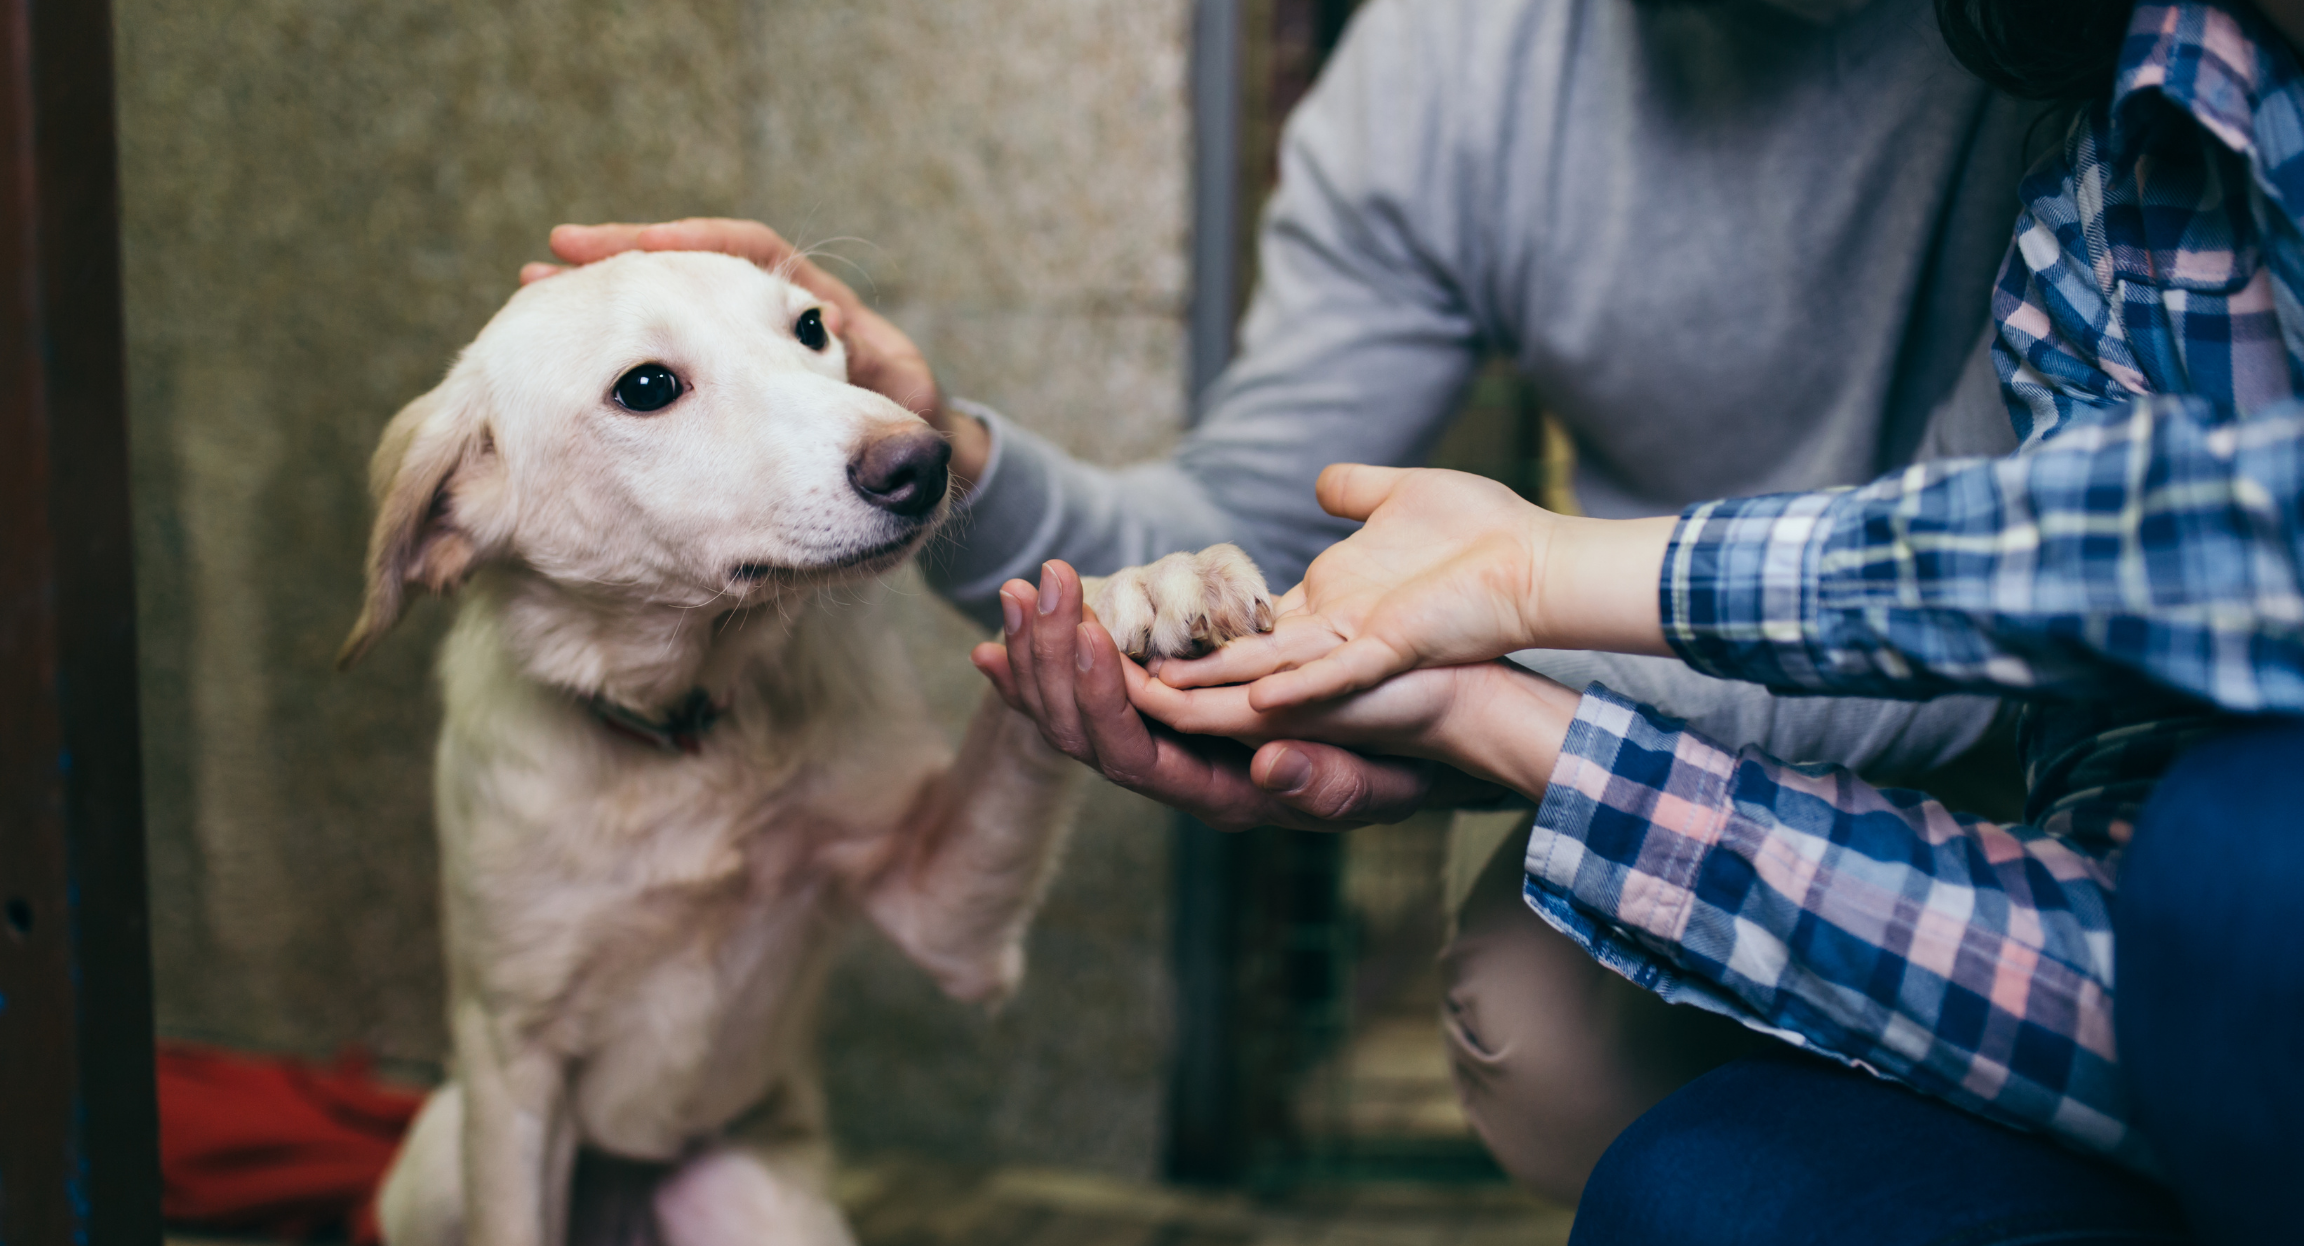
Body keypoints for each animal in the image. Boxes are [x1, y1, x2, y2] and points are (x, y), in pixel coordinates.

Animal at [347, 249, 1271, 1243]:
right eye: (646, 387)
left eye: (813, 328)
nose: (924, 460)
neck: (687, 732)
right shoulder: (513, 1061)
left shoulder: (944, 917)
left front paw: (1142, 584)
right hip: (445, 1154)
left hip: (755, 1198)